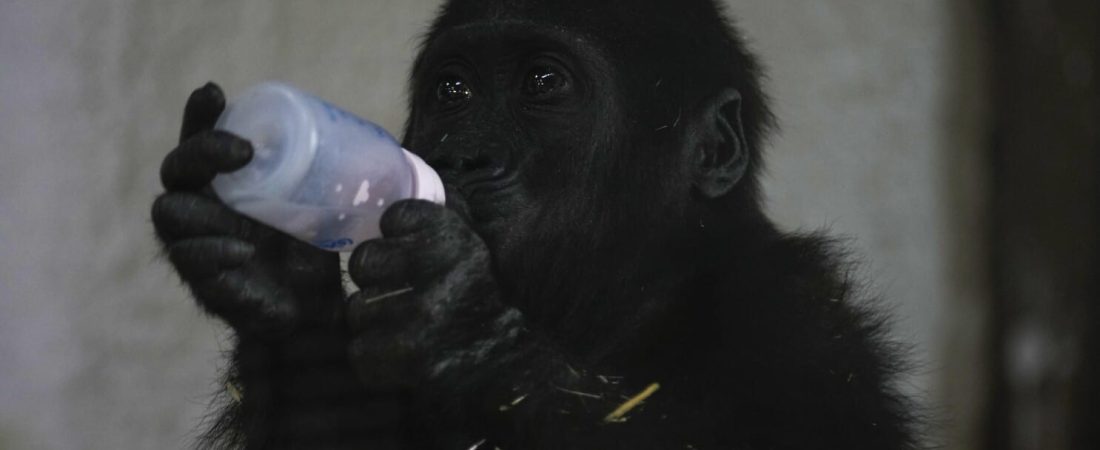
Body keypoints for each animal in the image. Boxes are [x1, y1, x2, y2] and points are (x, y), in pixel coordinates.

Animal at [152, 0, 919, 444]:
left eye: (543, 83)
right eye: (453, 90)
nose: (461, 157)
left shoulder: (798, 322)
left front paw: (466, 331)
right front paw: (272, 269)